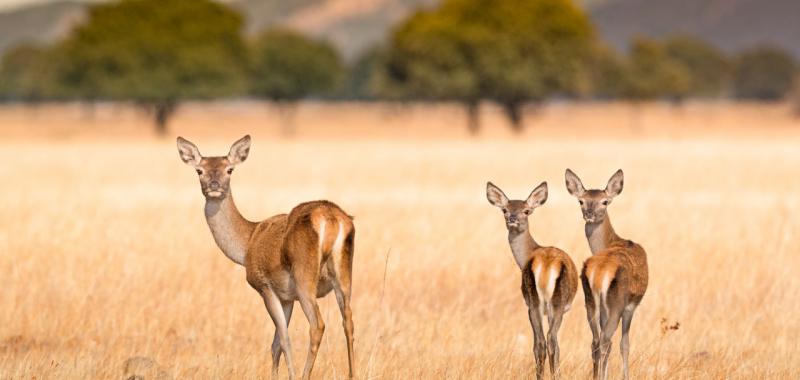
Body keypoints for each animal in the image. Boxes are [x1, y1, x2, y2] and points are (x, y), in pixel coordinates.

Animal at [180, 137, 358, 380]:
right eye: (199, 170)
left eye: (229, 169)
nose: (214, 185)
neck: (247, 244)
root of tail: (331, 220)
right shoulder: (287, 297)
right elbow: (275, 345)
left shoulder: (265, 286)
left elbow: (282, 340)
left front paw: (291, 375)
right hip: (344, 273)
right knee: (348, 320)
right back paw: (353, 373)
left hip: (304, 277)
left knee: (317, 325)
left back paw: (305, 375)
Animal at [484, 182, 580, 380]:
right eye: (504, 209)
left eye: (526, 210)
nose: (512, 218)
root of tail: (545, 266)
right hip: (553, 304)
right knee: (550, 341)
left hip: (535, 303)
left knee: (541, 343)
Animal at [564, 169, 648, 380]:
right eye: (581, 201)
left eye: (604, 201)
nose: (589, 214)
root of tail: (599, 274)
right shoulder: (630, 305)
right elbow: (624, 345)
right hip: (616, 304)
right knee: (605, 341)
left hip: (590, 303)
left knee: (595, 341)